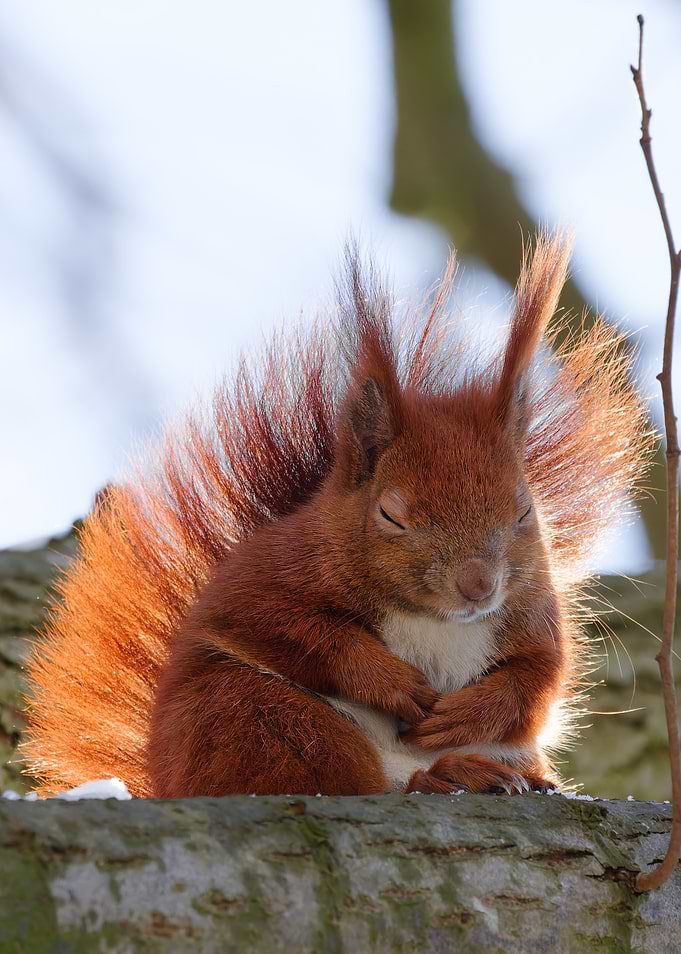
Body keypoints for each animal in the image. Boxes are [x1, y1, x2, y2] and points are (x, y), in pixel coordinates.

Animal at [23, 233, 650, 798]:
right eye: (391, 515)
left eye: (524, 510)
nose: (478, 586)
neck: (437, 619)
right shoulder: (267, 577)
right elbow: (297, 631)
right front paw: (391, 682)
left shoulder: (535, 614)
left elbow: (538, 678)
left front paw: (467, 711)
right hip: (260, 717)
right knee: (341, 779)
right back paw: (440, 776)